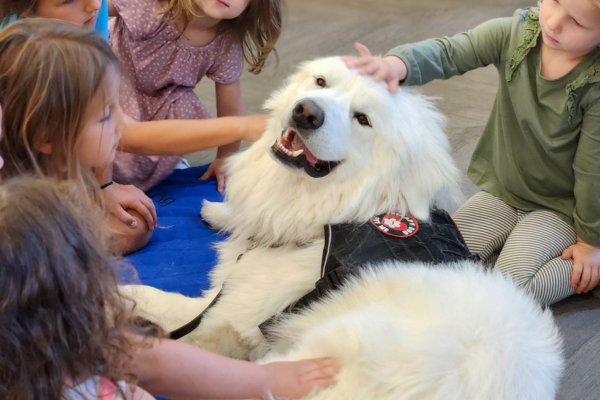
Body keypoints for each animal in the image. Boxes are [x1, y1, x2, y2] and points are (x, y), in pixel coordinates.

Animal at [124, 57, 564, 400]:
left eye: (362, 119)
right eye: (321, 82)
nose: (306, 112)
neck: (334, 218)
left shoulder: (229, 315)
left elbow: (165, 305)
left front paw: (120, 296)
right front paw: (220, 211)